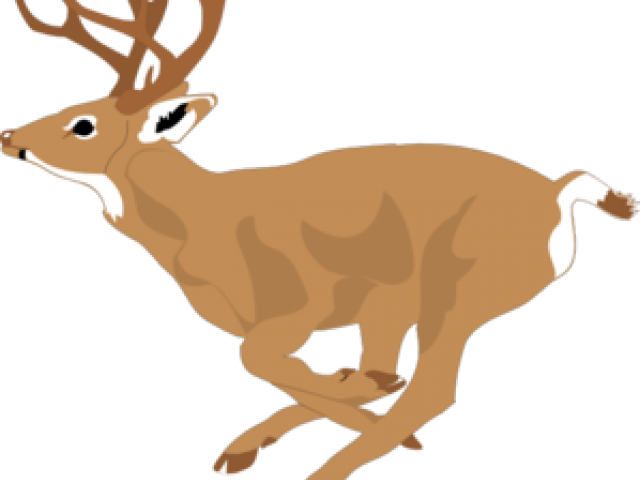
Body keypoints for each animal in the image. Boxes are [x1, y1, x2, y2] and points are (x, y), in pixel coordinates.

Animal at [1, 1, 637, 479]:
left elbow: (257, 357)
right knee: (393, 375)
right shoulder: (360, 306)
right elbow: (336, 374)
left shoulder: (304, 301)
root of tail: (556, 195)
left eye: (84, 124)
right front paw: (253, 442)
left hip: (456, 285)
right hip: (404, 301)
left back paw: (328, 469)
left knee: (432, 388)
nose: (8, 135)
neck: (201, 224)